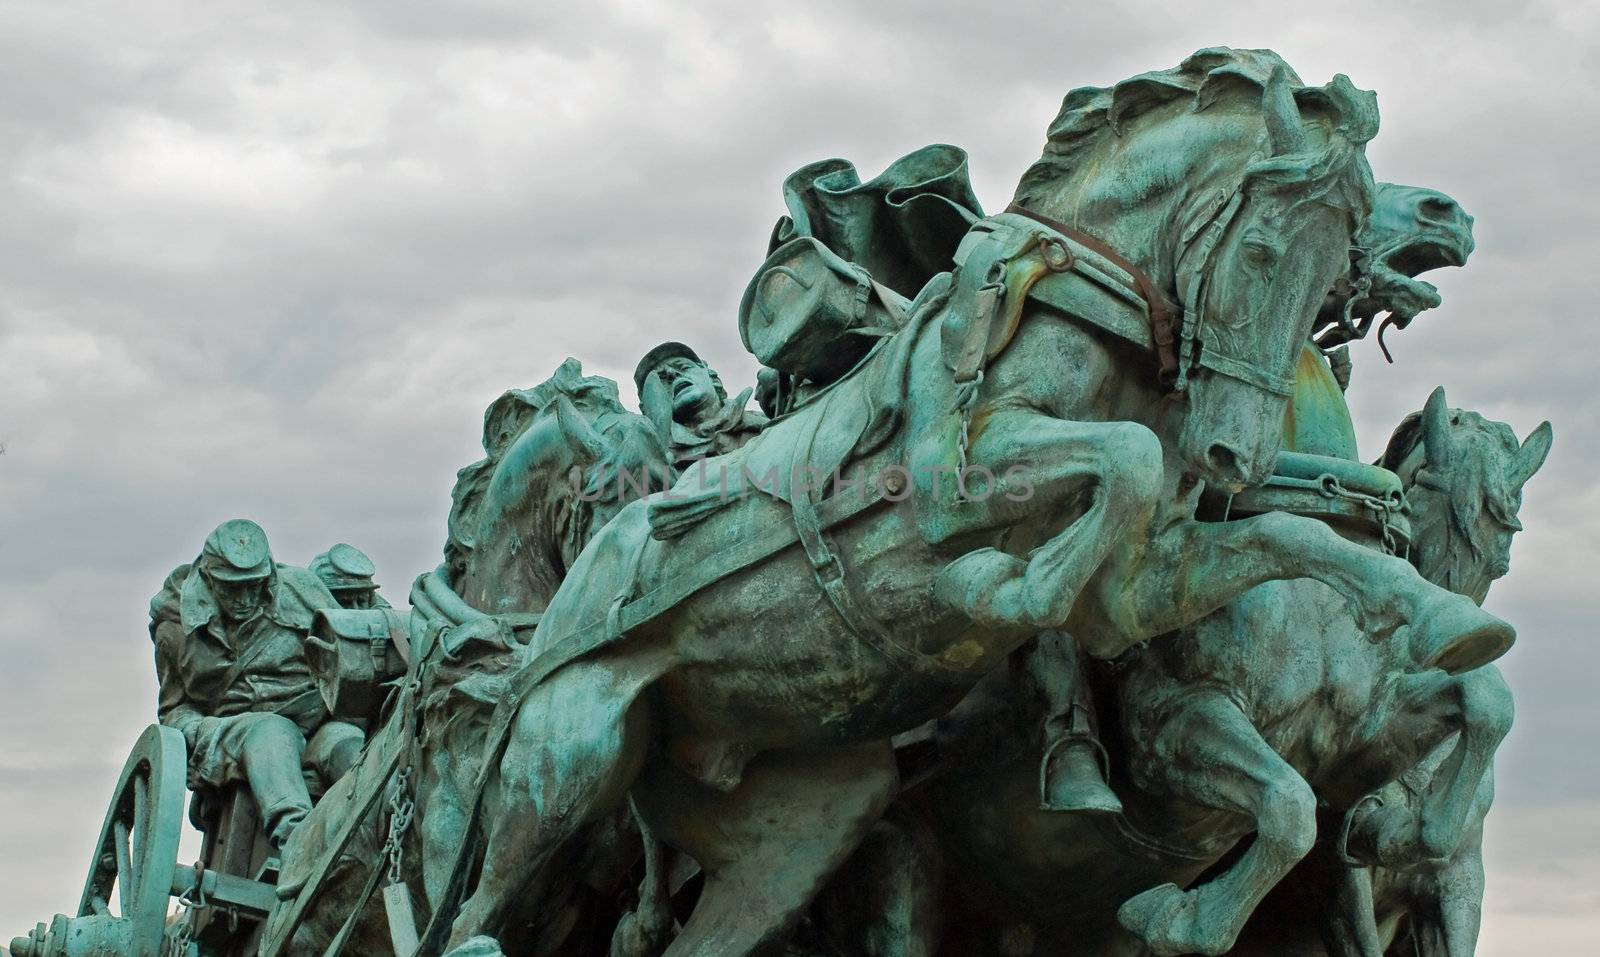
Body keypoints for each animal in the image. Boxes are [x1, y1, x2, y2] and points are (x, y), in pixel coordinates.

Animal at [441, 48, 1510, 953]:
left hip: (795, 826)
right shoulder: (967, 498)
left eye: (1330, 262)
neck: (1078, 307)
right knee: (478, 913)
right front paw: (1007, 587)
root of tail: (563, 605)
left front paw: (1448, 627)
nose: (1231, 450)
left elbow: (1290, 551)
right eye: (1260, 257)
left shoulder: (1145, 587)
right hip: (569, 756)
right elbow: (1119, 468)